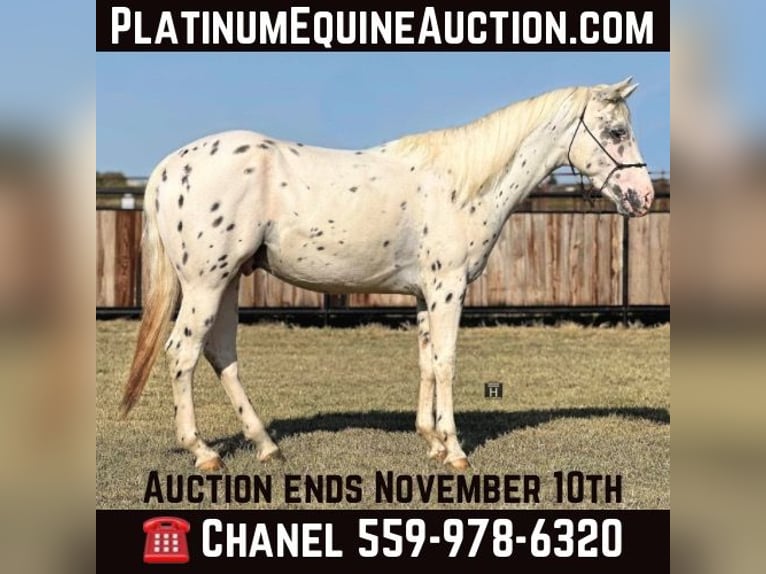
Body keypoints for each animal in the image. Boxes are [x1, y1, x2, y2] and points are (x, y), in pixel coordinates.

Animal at [121, 77, 654, 472]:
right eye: (615, 132)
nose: (643, 196)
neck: (461, 185)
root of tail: (169, 168)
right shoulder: (448, 289)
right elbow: (446, 363)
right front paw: (455, 452)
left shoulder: (425, 295)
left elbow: (425, 362)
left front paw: (432, 441)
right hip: (206, 284)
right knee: (183, 352)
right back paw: (204, 452)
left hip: (228, 281)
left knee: (221, 354)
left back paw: (267, 445)